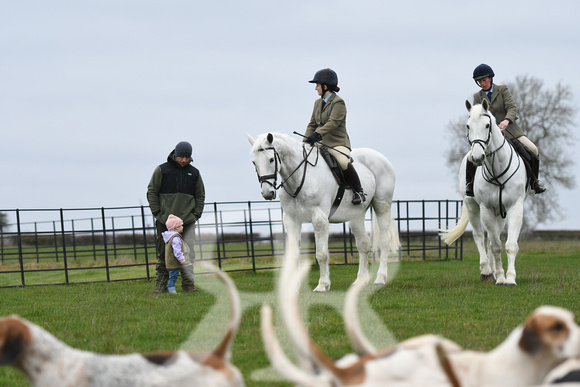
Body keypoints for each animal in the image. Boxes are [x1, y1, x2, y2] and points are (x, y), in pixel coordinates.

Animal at [245, 132, 398, 292]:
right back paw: (360, 281)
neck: (300, 177)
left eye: (271, 159)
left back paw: (380, 278)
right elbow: (294, 255)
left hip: (382, 205)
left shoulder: (319, 219)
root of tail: (382, 158)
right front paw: (294, 287)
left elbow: (321, 254)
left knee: (384, 240)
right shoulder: (291, 220)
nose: (267, 193)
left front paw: (323, 285)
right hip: (356, 216)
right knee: (363, 243)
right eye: (254, 162)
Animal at [440, 101, 532, 286]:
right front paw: (501, 277)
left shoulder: (514, 207)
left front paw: (510, 278)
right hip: (472, 206)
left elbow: (510, 245)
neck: (497, 169)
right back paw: (487, 271)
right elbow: (495, 246)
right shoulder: (486, 209)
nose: (477, 158)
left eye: (487, 125)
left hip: (500, 214)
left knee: (490, 238)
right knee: (479, 236)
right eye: (468, 126)